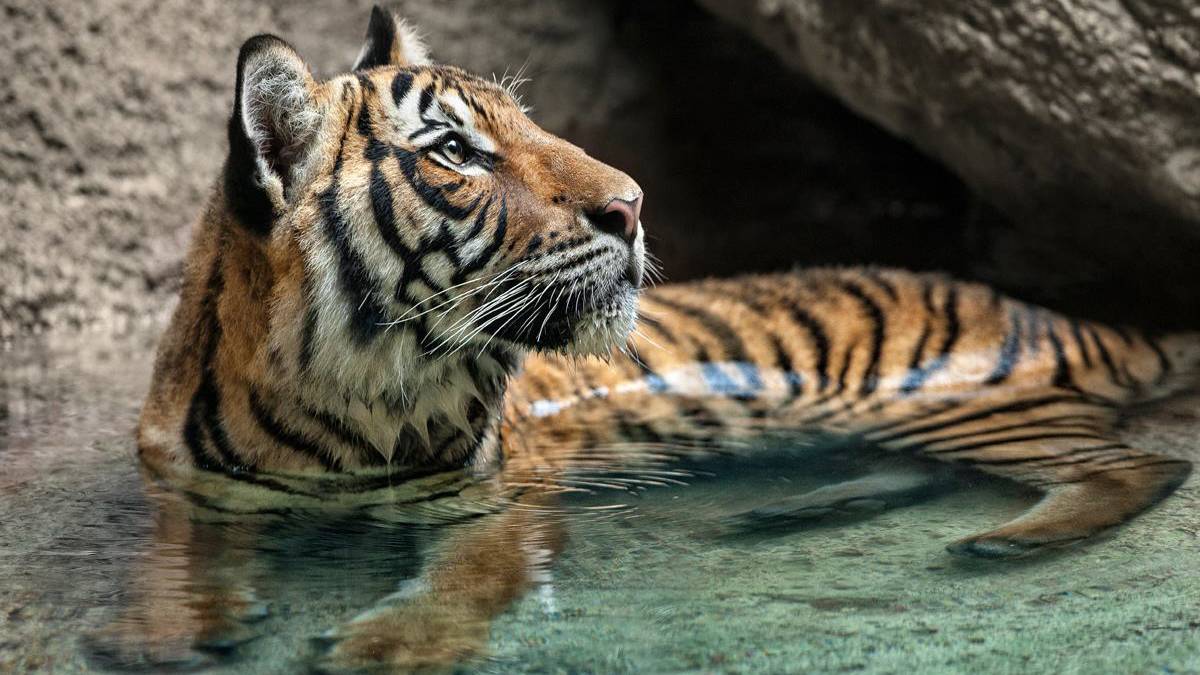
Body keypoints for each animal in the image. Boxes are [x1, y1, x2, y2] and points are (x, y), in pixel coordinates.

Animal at [93, 6, 1200, 672]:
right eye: (456, 151)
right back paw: (795, 511)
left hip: (966, 404)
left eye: (526, 125)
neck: (339, 401)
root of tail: (1070, 317)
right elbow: (168, 552)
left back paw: (1009, 539)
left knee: (1135, 464)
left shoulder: (497, 502)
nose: (631, 205)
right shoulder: (186, 490)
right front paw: (163, 627)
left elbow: (468, 578)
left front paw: (386, 646)